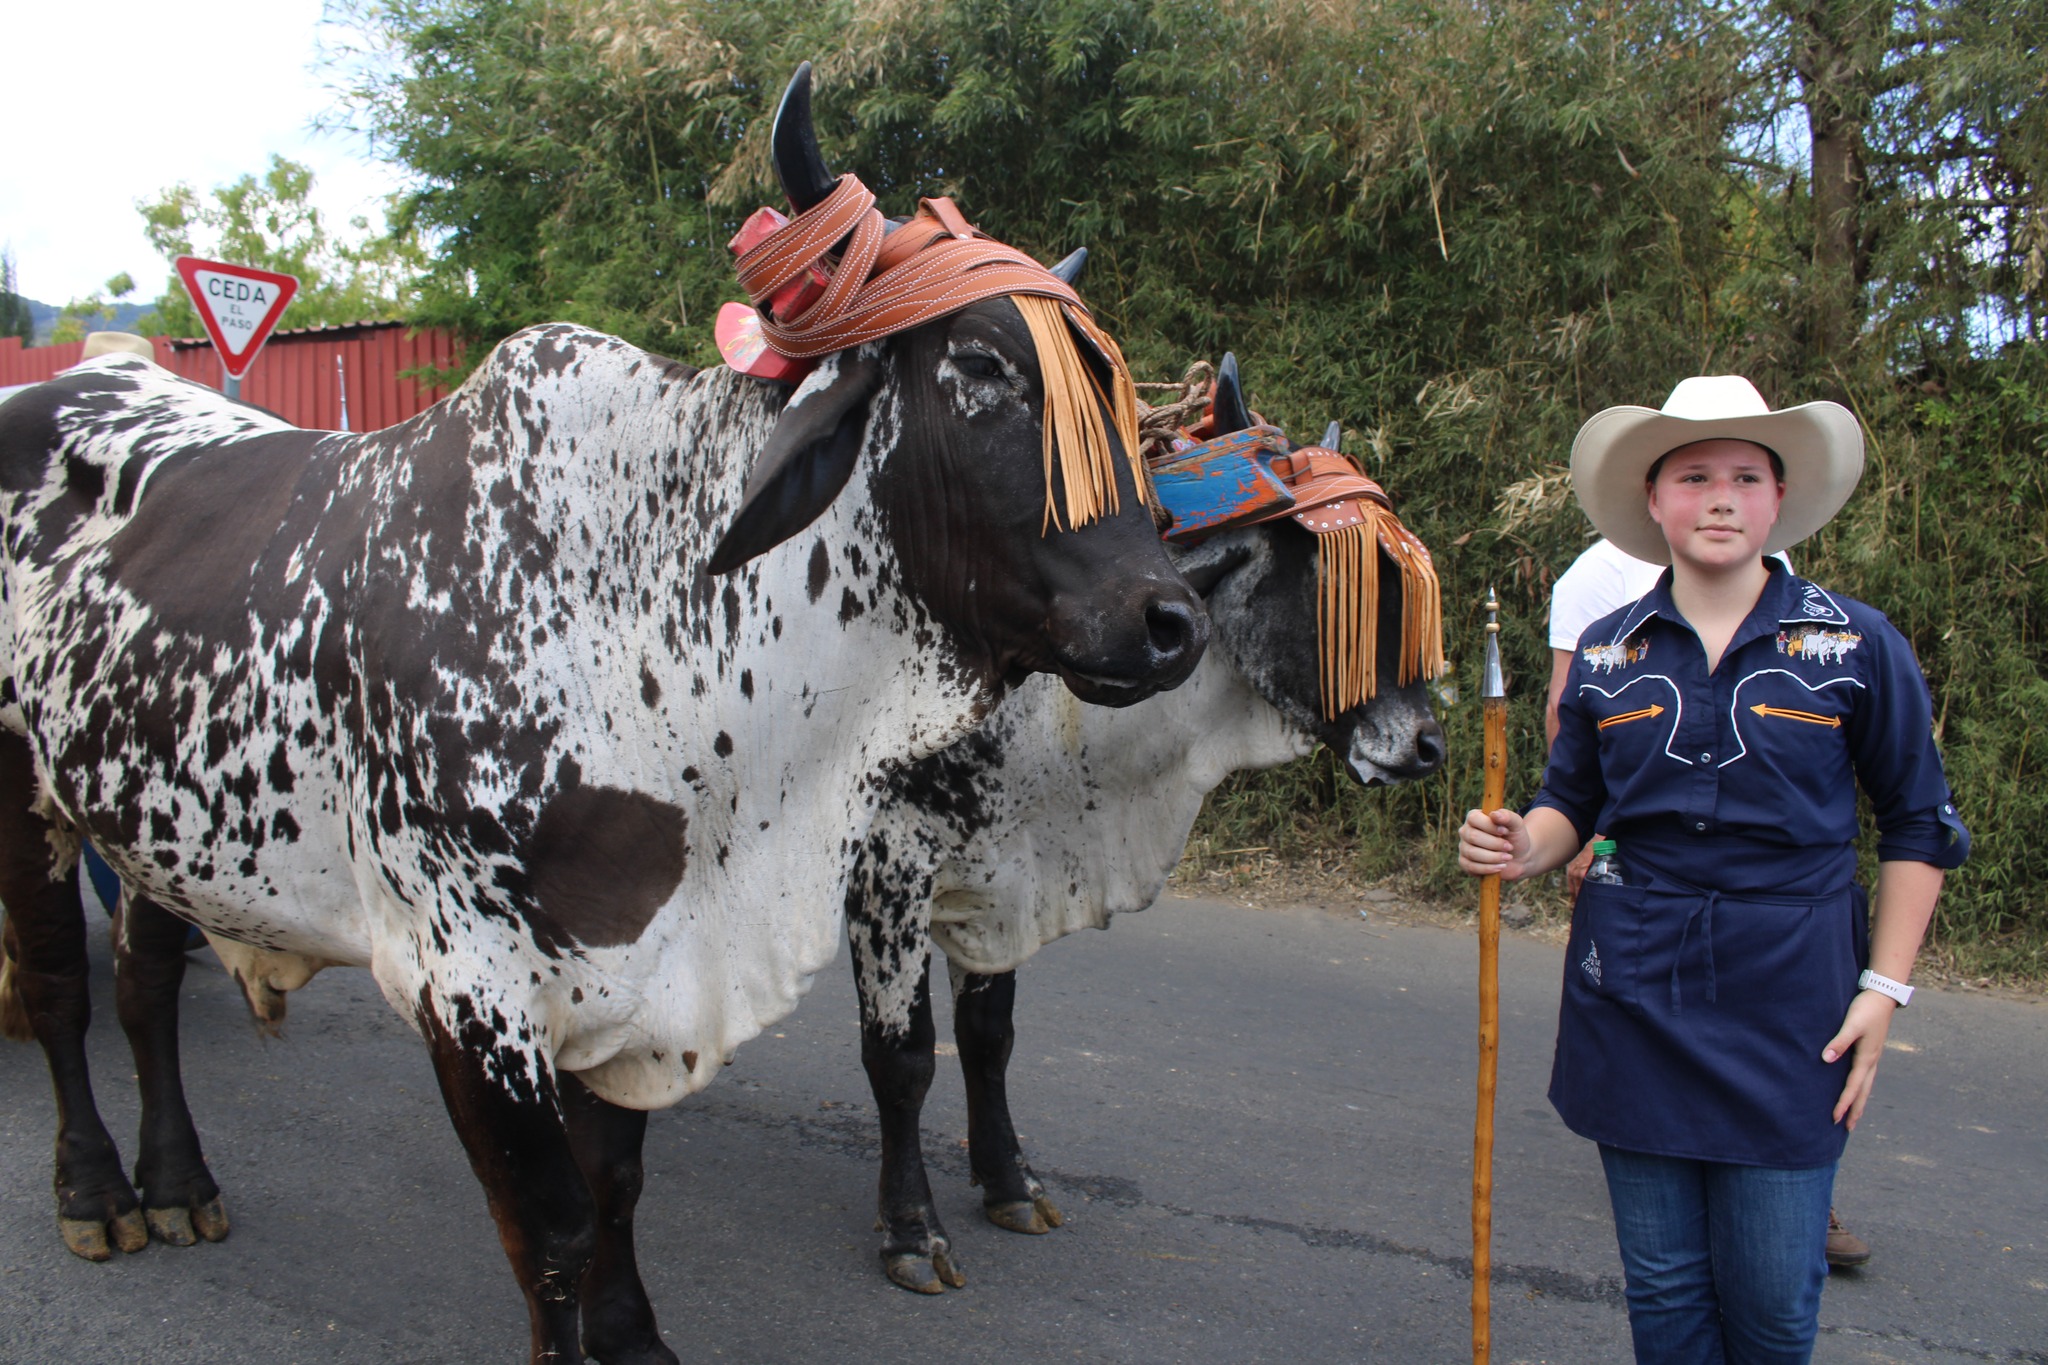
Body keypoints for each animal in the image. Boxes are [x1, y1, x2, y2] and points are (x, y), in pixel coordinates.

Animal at [0, 68, 1207, 1364]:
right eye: (980, 366)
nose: (1170, 622)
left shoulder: (630, 969)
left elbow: (616, 1184)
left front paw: (633, 1338)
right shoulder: (469, 991)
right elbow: (553, 1229)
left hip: (150, 819)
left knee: (145, 986)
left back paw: (177, 1184)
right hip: (23, 792)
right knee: (62, 994)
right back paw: (99, 1194)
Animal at [841, 357, 1447, 1292]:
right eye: (1346, 577)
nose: (1427, 745)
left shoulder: (1003, 870)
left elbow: (987, 1037)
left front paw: (1010, 1181)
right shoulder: (889, 866)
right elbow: (903, 1059)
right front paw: (912, 1228)